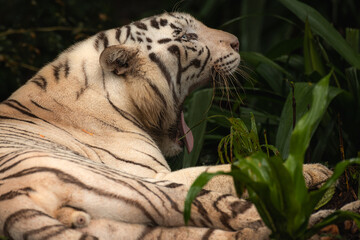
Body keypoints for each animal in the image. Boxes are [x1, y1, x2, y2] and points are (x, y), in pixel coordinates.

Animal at [0, 11, 346, 240]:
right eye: (187, 36)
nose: (237, 42)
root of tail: (13, 202)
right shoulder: (153, 174)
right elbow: (241, 166)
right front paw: (312, 170)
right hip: (155, 190)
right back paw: (332, 216)